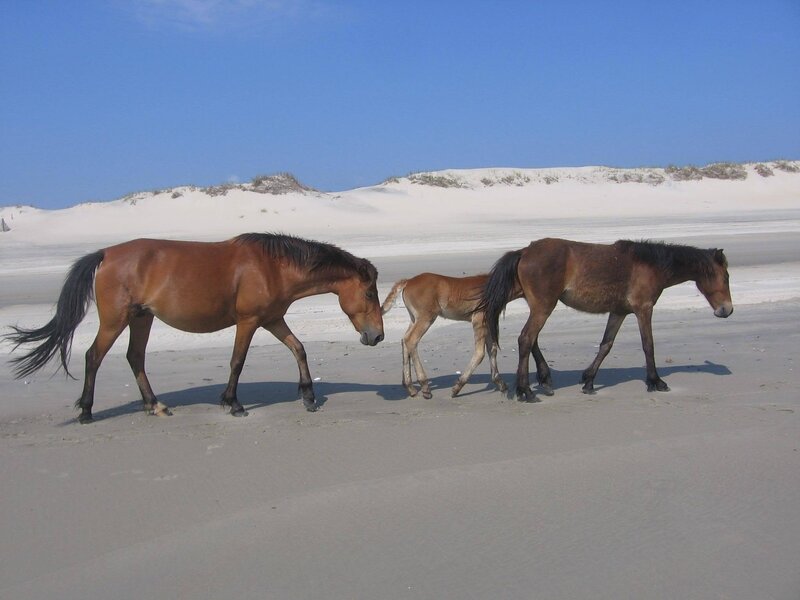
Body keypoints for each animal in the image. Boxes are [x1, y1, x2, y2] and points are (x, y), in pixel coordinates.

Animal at [5, 233, 384, 423]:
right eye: (368, 292)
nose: (377, 335)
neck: (273, 266)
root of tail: (106, 254)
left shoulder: (272, 319)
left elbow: (299, 348)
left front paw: (308, 396)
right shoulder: (249, 321)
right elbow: (237, 362)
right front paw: (233, 403)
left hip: (141, 318)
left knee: (135, 358)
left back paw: (154, 405)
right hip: (115, 320)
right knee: (93, 357)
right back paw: (86, 411)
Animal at [381, 273, 521, 398]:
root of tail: (408, 281)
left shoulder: (487, 321)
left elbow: (492, 349)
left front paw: (500, 383)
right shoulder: (479, 318)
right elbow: (480, 353)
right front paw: (457, 387)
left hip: (413, 318)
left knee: (404, 340)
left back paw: (410, 387)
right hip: (426, 318)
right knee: (411, 340)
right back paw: (425, 386)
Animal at [478, 238, 733, 402]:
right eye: (726, 277)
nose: (727, 310)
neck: (651, 265)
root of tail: (524, 251)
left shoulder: (619, 312)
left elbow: (606, 345)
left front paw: (589, 381)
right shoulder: (644, 309)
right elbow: (648, 345)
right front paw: (656, 381)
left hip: (536, 304)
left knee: (532, 340)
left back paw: (542, 380)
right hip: (543, 306)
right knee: (526, 339)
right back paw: (526, 391)